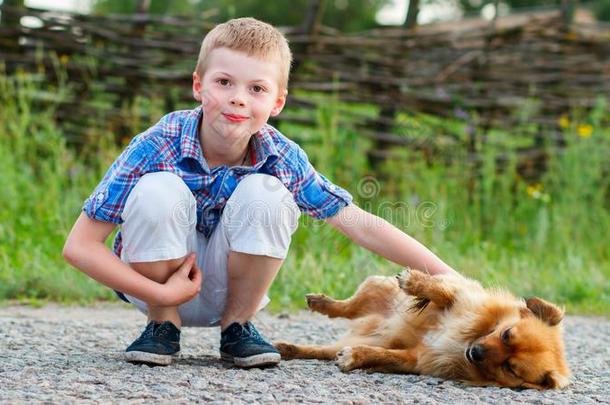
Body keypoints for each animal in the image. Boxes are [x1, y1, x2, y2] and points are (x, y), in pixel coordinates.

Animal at [276, 268, 568, 388]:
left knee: (321, 349)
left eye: (510, 368)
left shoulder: (418, 357)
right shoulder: (460, 299)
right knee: (346, 308)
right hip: (373, 287)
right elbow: (440, 290)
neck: (468, 339)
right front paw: (414, 281)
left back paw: (286, 349)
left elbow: (384, 355)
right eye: (507, 334)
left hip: (356, 337)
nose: (475, 353)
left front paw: (356, 357)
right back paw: (322, 303)